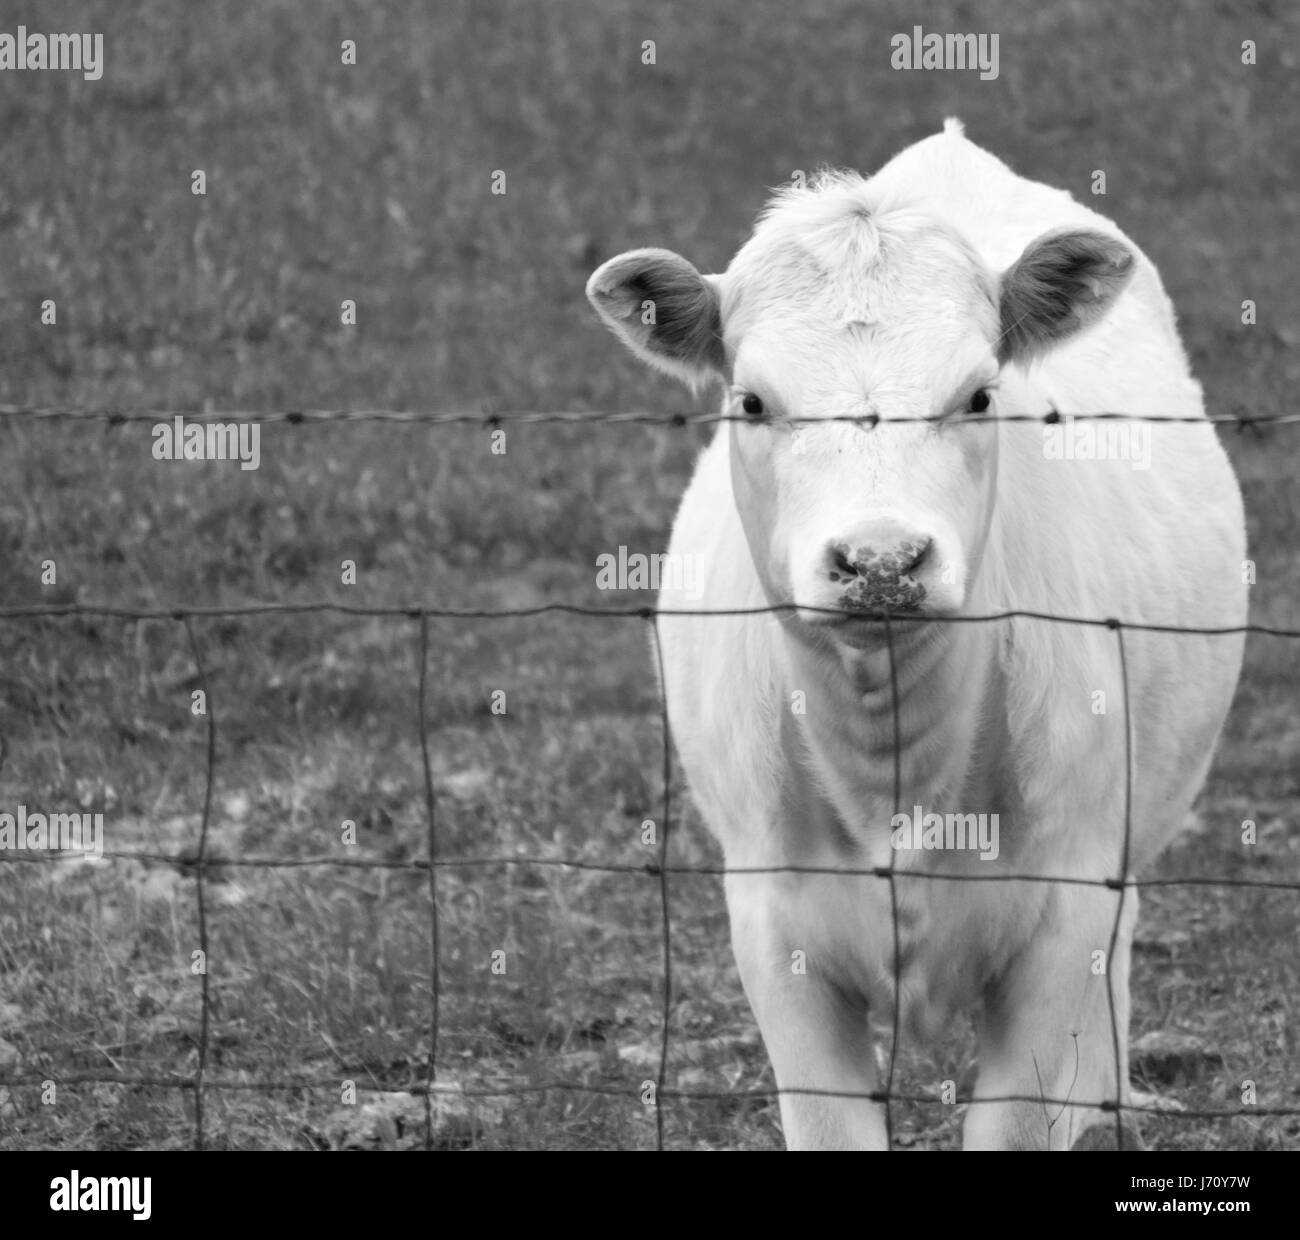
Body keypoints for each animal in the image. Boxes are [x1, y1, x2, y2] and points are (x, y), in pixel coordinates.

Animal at [587, 120, 1248, 1143]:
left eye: (978, 396)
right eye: (752, 402)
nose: (882, 559)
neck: (894, 772)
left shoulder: (1065, 924)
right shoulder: (774, 929)